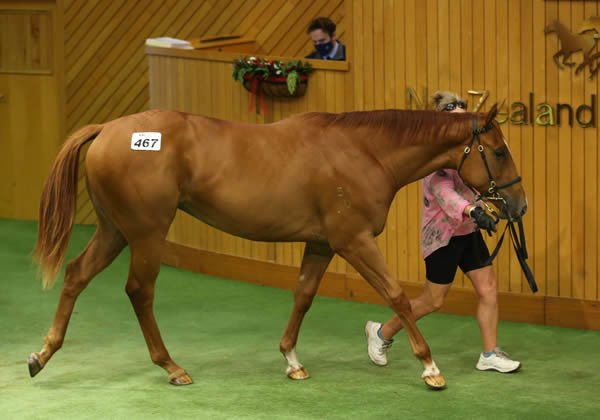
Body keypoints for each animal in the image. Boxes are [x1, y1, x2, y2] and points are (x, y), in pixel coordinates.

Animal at [29, 103, 524, 388]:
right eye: (499, 152)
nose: (517, 205)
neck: (363, 151)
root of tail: (108, 130)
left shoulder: (322, 244)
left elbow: (303, 296)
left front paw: (291, 360)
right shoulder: (354, 241)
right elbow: (397, 295)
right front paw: (430, 367)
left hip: (114, 230)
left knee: (76, 274)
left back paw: (42, 354)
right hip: (146, 233)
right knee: (139, 292)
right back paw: (171, 367)